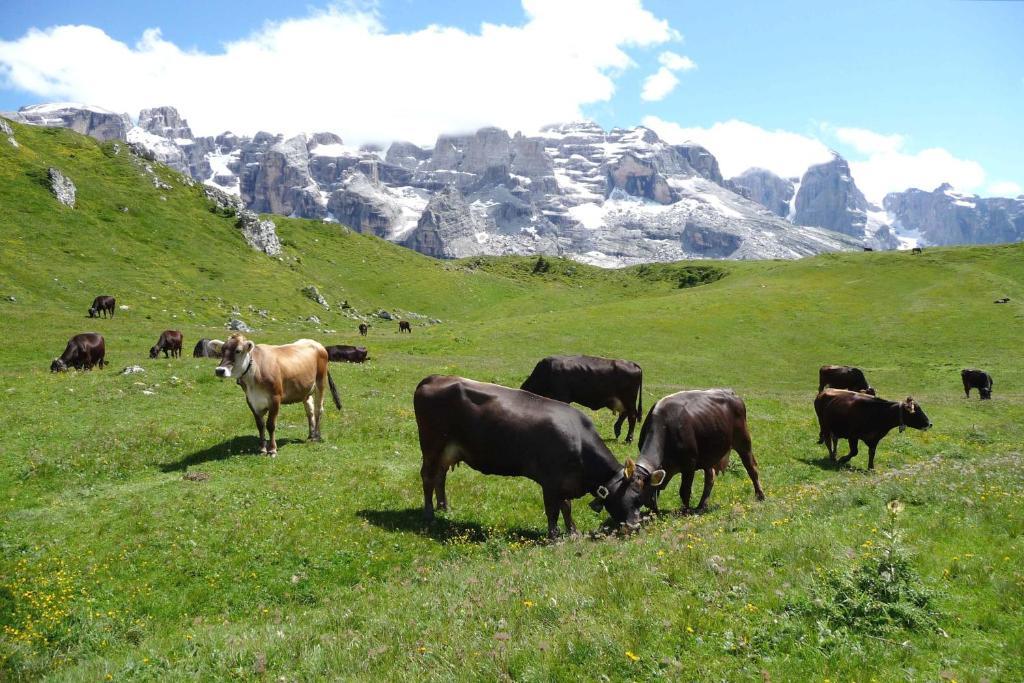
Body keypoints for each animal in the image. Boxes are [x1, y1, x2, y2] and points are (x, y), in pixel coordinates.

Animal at [209, 333, 342, 456]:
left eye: (238, 350)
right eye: (222, 350)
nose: (220, 370)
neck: (254, 374)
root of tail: (317, 344)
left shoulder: (275, 399)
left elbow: (270, 425)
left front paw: (272, 449)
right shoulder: (251, 400)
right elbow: (260, 425)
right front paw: (262, 448)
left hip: (320, 382)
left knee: (319, 409)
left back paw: (316, 437)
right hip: (305, 389)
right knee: (310, 411)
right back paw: (311, 435)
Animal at [411, 374, 667, 540]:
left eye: (643, 497)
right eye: (631, 495)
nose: (634, 525)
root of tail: (433, 378)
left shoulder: (565, 482)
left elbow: (566, 507)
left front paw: (573, 531)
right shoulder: (551, 481)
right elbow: (553, 509)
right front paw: (553, 535)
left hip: (447, 450)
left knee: (440, 476)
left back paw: (444, 507)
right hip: (431, 445)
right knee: (427, 477)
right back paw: (429, 512)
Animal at [630, 389, 770, 511]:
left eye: (637, 491)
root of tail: (731, 393)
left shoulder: (689, 466)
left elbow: (684, 491)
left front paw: (685, 510)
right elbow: (656, 490)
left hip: (743, 443)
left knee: (752, 469)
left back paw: (760, 495)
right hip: (709, 455)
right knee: (710, 478)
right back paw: (702, 505)